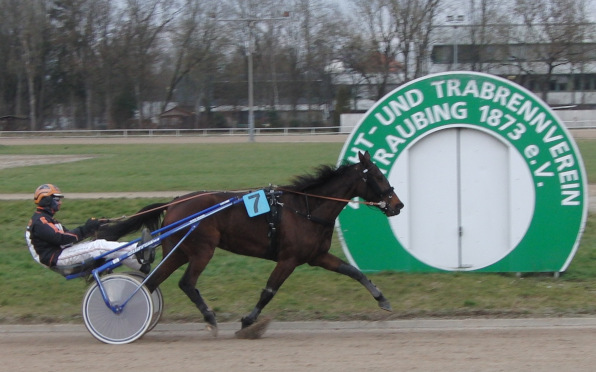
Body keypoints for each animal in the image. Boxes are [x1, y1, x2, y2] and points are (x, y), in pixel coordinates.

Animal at [98, 151, 406, 334]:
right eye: (378, 176)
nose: (398, 204)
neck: (307, 208)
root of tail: (174, 203)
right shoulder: (289, 259)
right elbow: (269, 291)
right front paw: (248, 321)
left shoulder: (316, 256)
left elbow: (354, 272)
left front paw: (383, 299)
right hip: (202, 249)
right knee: (186, 283)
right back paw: (207, 318)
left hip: (180, 251)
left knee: (152, 281)